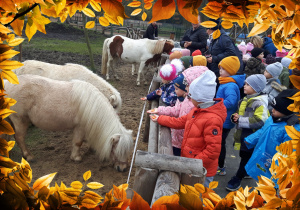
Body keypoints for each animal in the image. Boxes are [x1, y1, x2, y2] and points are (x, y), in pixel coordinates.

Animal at [4, 75, 132, 172]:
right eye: (117, 151)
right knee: (19, 138)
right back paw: (29, 156)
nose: (123, 168)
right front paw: (76, 157)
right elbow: (78, 142)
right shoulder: (80, 128)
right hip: (19, 120)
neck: (92, 105)